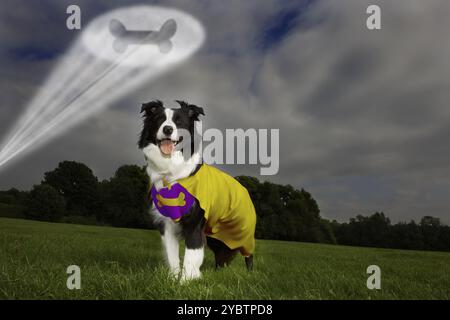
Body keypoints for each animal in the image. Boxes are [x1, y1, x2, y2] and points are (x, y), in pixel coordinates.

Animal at [137, 99, 256, 280]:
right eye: (159, 120)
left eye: (179, 122)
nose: (167, 129)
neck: (171, 167)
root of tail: (244, 189)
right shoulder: (167, 224)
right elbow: (172, 256)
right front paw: (173, 279)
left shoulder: (194, 223)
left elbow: (191, 255)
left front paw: (186, 281)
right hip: (217, 235)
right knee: (221, 255)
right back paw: (218, 272)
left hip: (243, 231)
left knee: (248, 254)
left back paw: (250, 273)